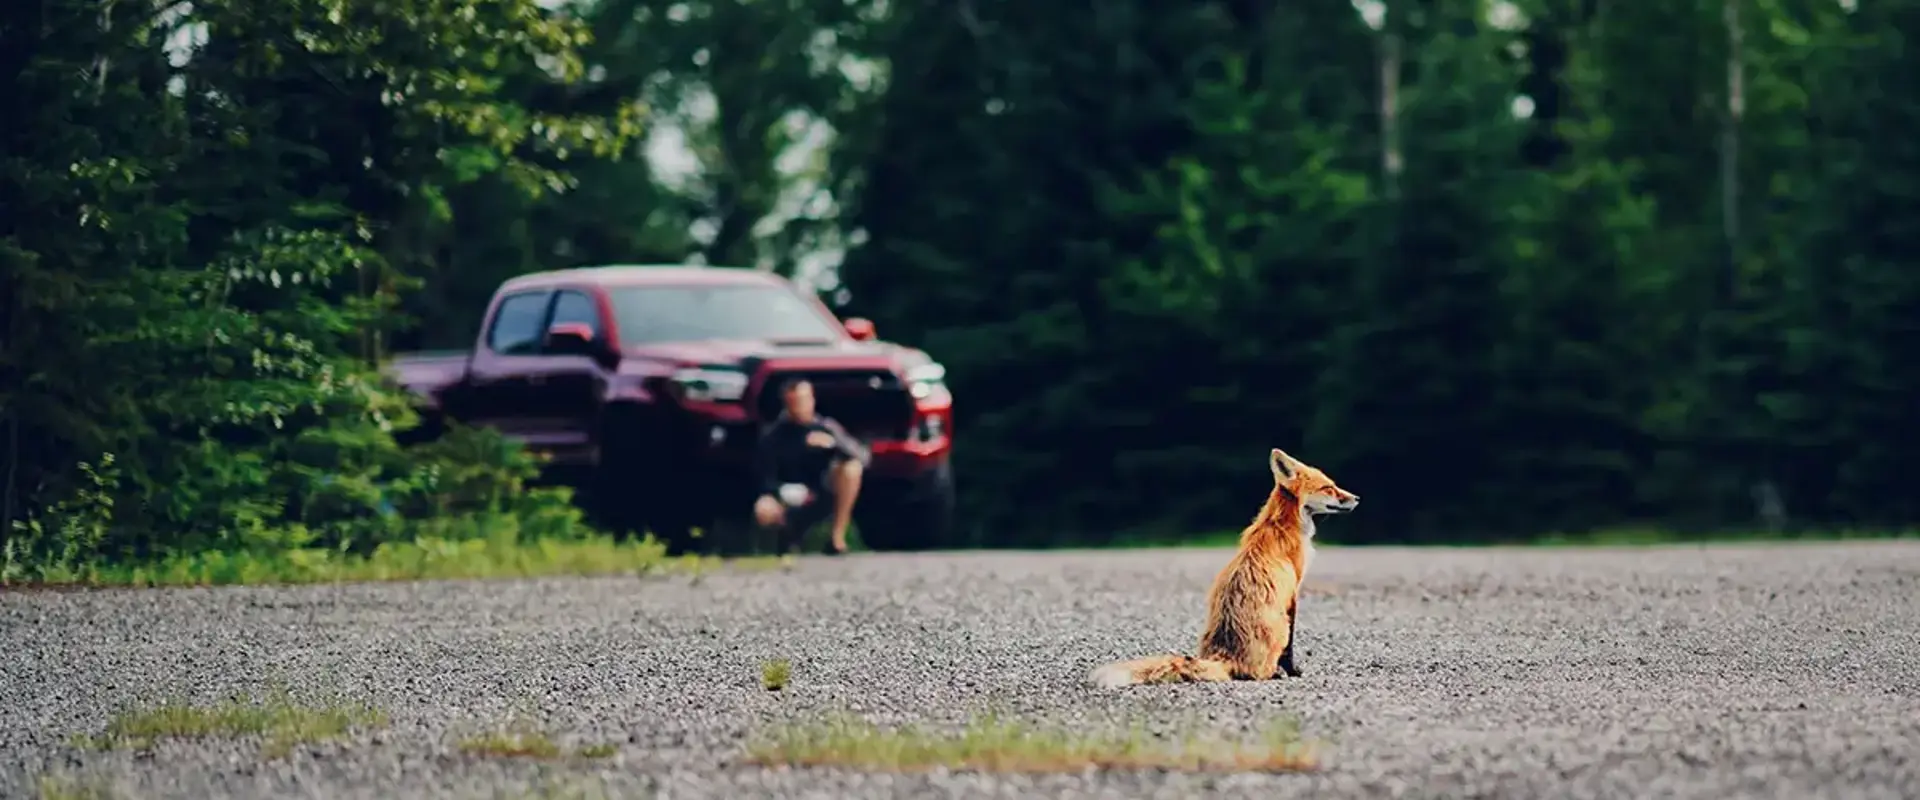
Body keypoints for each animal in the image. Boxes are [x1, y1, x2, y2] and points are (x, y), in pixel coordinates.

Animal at [1090, 448, 1359, 686]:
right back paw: (1274, 673)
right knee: (1259, 670)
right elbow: (1290, 649)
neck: (1282, 525)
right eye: (1328, 488)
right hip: (1280, 625)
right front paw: (1293, 671)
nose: (1357, 498)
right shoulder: (1293, 593)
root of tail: (1225, 655)